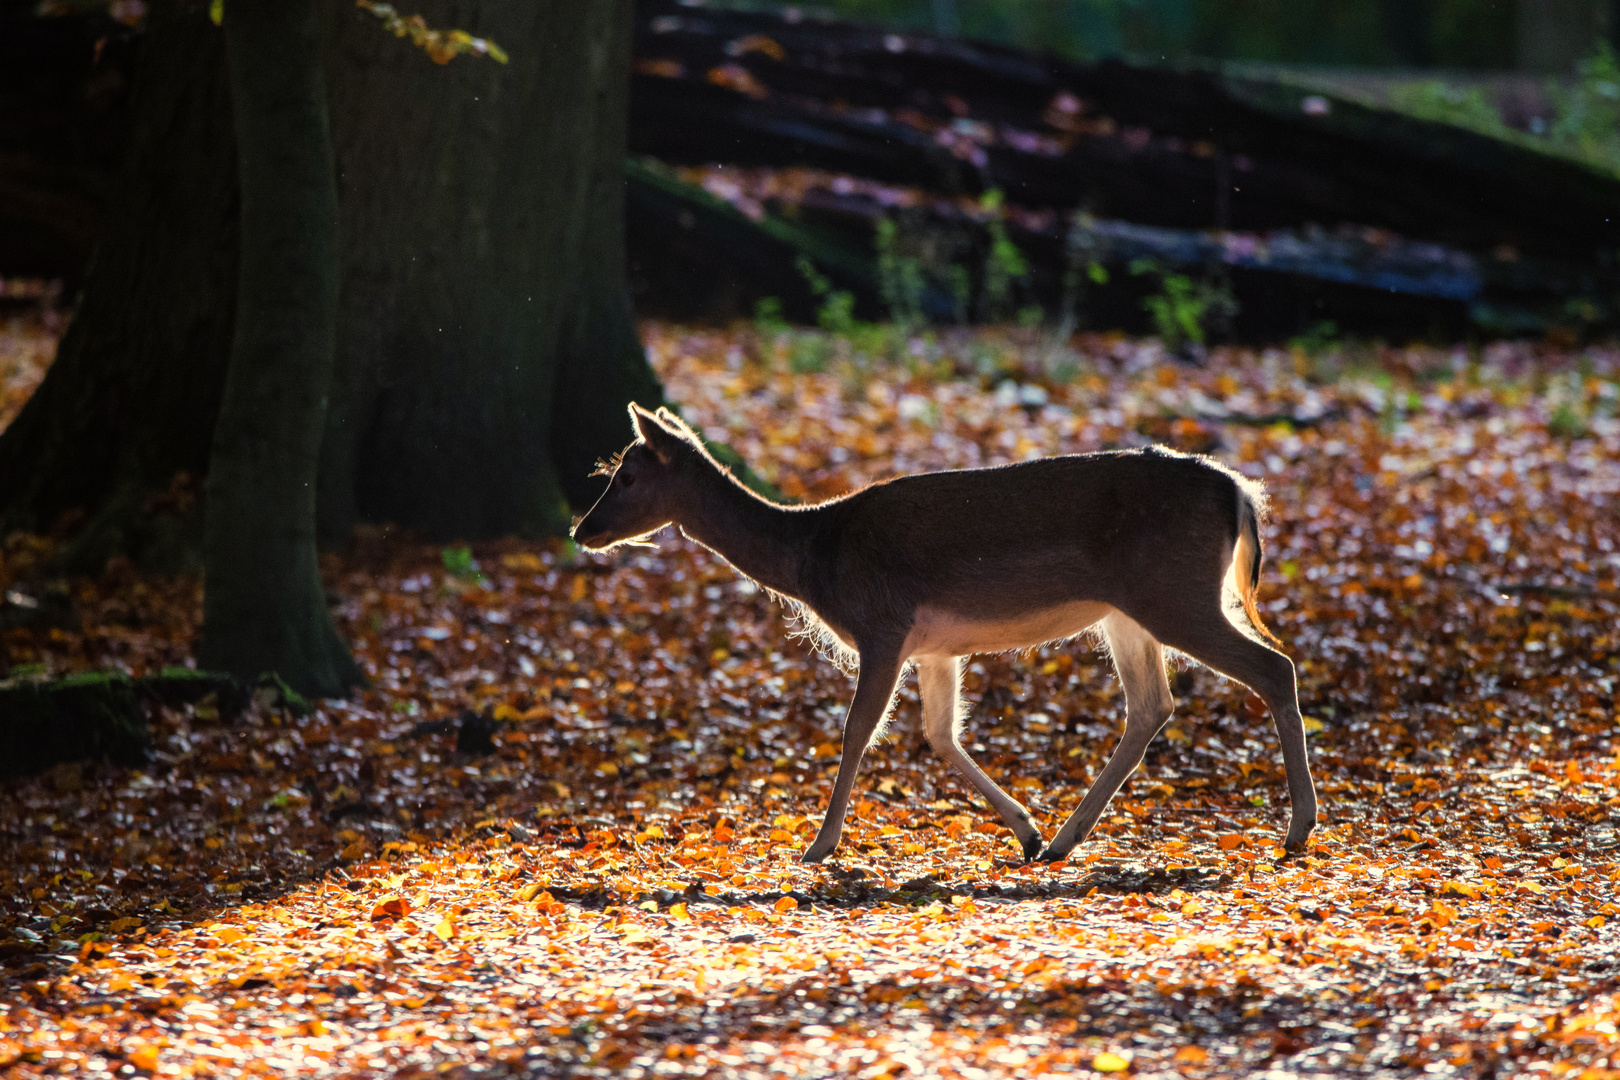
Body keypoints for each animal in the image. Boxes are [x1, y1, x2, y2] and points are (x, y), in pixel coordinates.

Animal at [570, 401, 1315, 867]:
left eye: (627, 475)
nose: (582, 529)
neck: (814, 559)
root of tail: (1238, 492)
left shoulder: (883, 624)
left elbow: (858, 730)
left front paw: (818, 846)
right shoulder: (934, 647)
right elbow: (939, 733)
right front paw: (1024, 830)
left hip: (1175, 594)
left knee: (1273, 668)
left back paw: (1299, 827)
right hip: (1128, 613)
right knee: (1153, 705)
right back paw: (1063, 840)